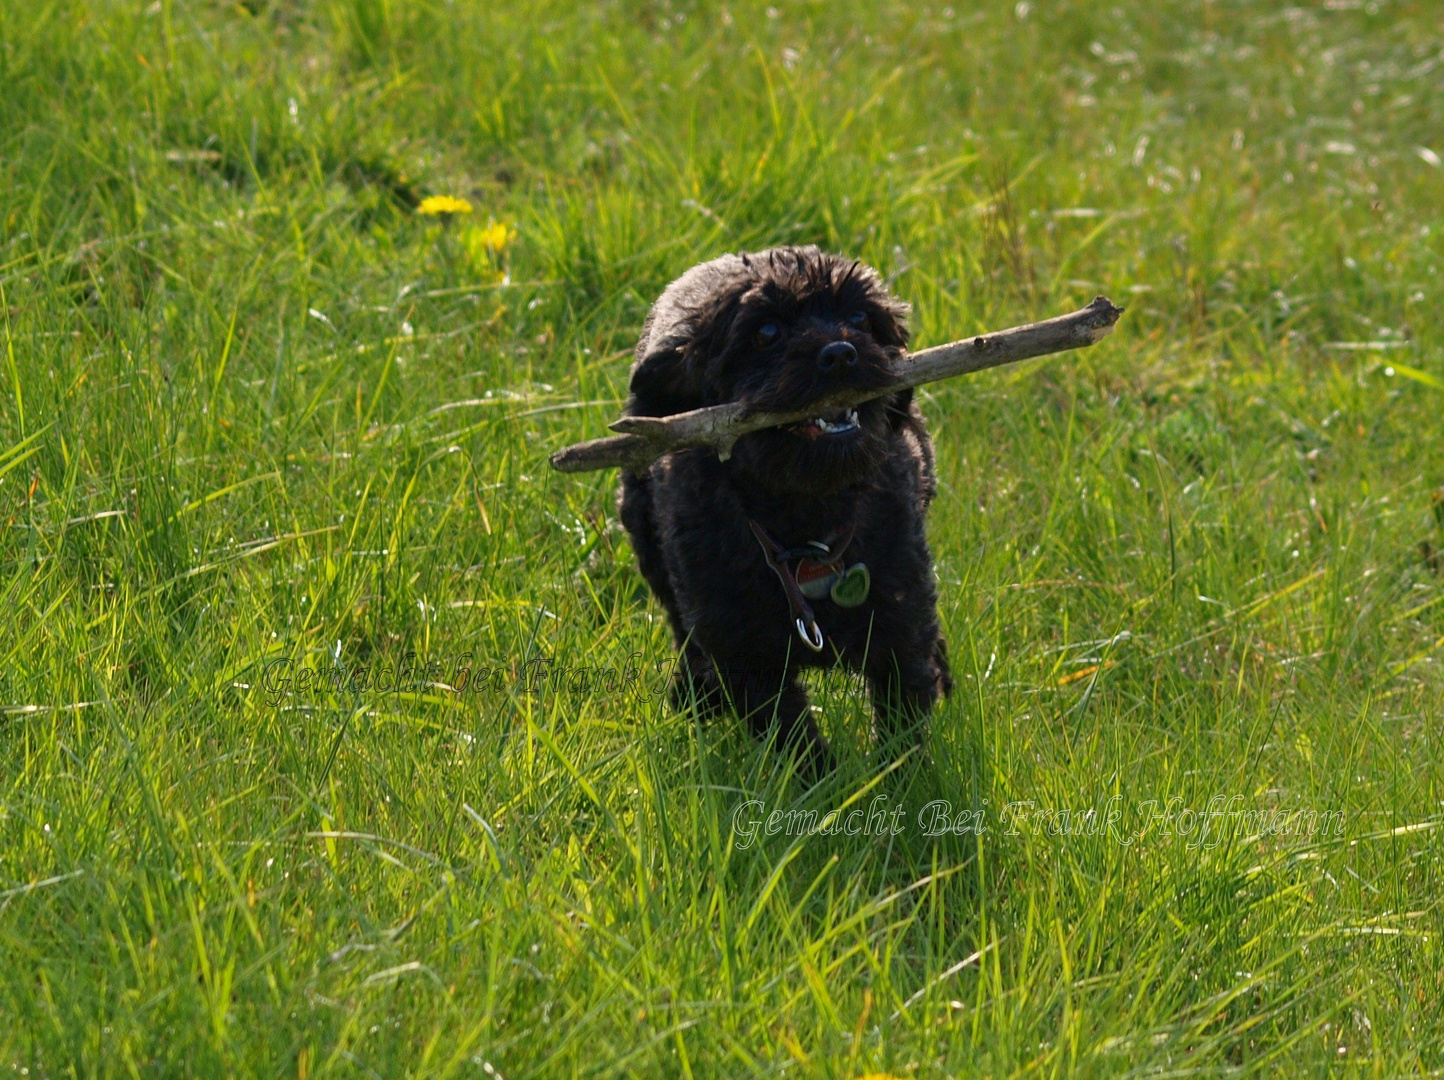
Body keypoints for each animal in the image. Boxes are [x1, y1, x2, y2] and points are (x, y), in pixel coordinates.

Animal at [618, 246, 947, 768]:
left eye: (861, 317)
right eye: (767, 332)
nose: (840, 353)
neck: (806, 523)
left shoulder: (902, 619)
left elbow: (903, 722)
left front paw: (898, 780)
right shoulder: (745, 656)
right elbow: (791, 738)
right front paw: (826, 785)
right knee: (682, 631)